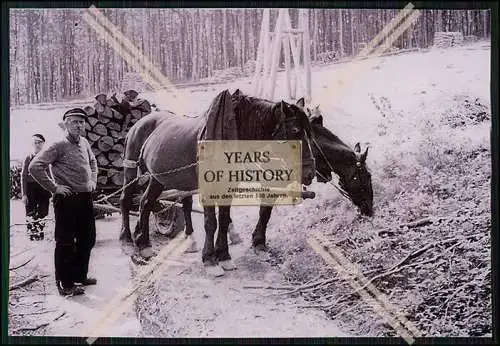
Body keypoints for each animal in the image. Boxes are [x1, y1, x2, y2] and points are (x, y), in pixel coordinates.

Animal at [129, 90, 316, 276]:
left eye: (309, 132)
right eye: (295, 131)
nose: (310, 173)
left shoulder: (227, 187)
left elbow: (224, 220)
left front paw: (224, 256)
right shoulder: (207, 188)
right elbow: (210, 223)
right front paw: (210, 260)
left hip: (157, 179)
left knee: (146, 202)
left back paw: (143, 245)